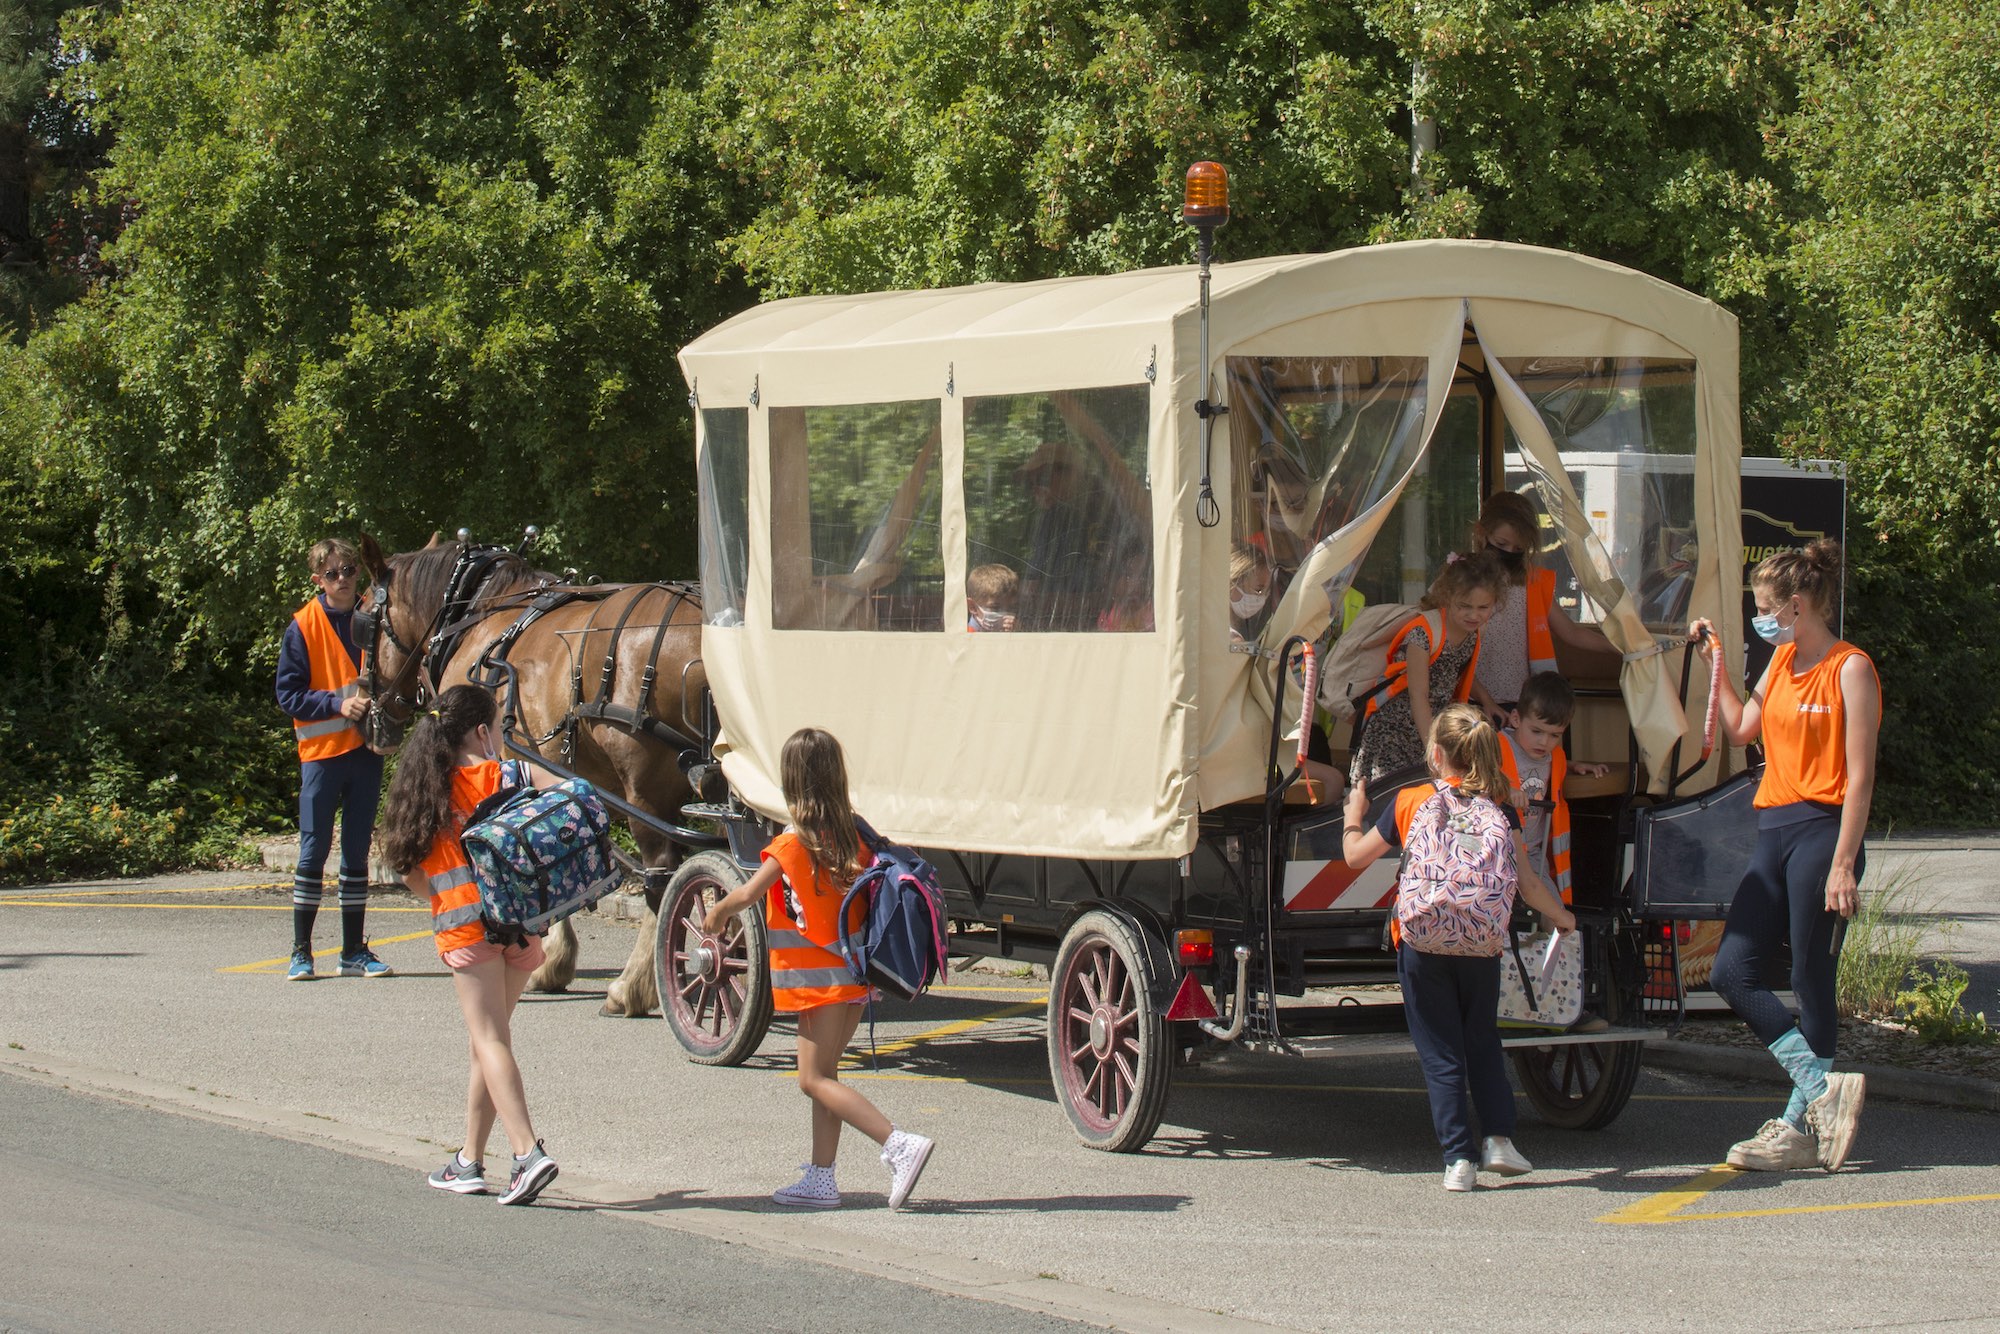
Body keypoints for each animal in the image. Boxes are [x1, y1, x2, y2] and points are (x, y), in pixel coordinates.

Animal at [358, 536, 712, 1016]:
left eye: (361, 620)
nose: (365, 716)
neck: (478, 614)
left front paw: (542, 957)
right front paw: (553, 959)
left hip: (647, 792)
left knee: (663, 876)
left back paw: (633, 986)